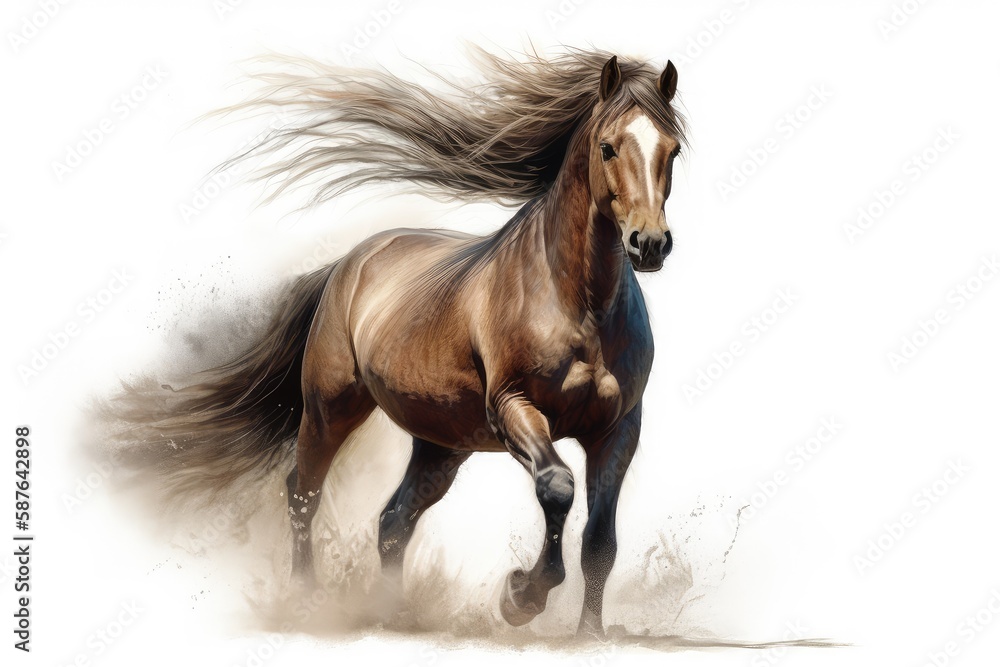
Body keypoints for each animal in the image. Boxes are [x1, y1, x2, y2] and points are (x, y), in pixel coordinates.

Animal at [112, 48, 687, 637]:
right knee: (303, 493)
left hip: (441, 444)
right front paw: (520, 596)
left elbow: (600, 542)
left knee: (393, 521)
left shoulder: (618, 429)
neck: (578, 305)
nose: (649, 243)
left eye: (673, 149)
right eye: (608, 146)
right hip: (330, 410)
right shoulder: (514, 408)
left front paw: (588, 634)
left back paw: (394, 614)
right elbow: (556, 487)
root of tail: (348, 263)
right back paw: (306, 599)